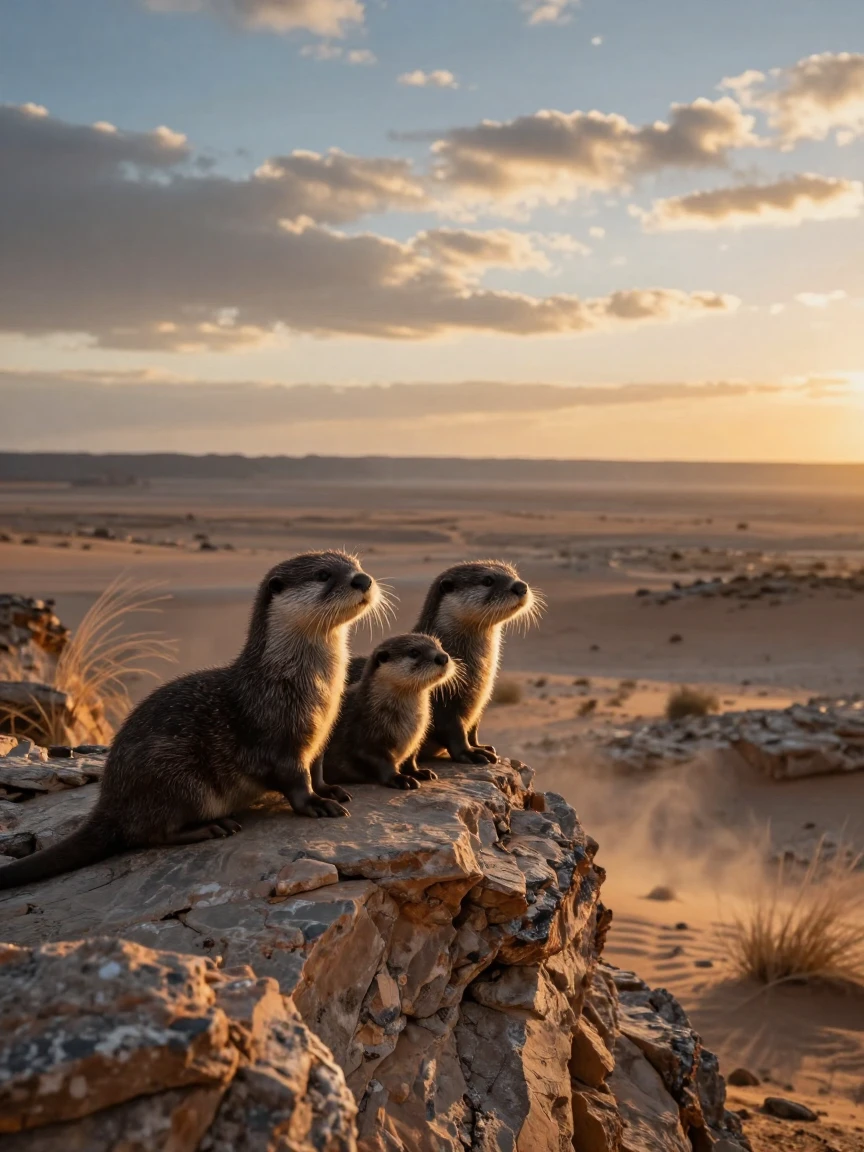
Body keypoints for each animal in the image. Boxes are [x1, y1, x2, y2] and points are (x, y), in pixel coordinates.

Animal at [0, 551, 381, 890]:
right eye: (323, 574)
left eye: (356, 564)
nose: (363, 579)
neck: (296, 682)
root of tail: (111, 799)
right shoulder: (277, 732)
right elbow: (296, 780)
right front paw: (317, 804)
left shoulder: (319, 736)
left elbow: (316, 769)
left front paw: (329, 789)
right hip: (175, 774)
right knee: (148, 833)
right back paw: (211, 828)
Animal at [324, 633, 456, 791]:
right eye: (414, 652)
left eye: (439, 645)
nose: (443, 657)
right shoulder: (363, 734)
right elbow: (380, 762)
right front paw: (401, 778)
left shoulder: (415, 739)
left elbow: (410, 758)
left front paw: (418, 772)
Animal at [349, 561, 540, 766]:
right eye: (488, 580)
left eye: (515, 574)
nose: (520, 586)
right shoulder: (443, 703)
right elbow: (453, 731)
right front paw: (471, 753)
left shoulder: (477, 704)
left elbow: (472, 728)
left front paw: (480, 746)